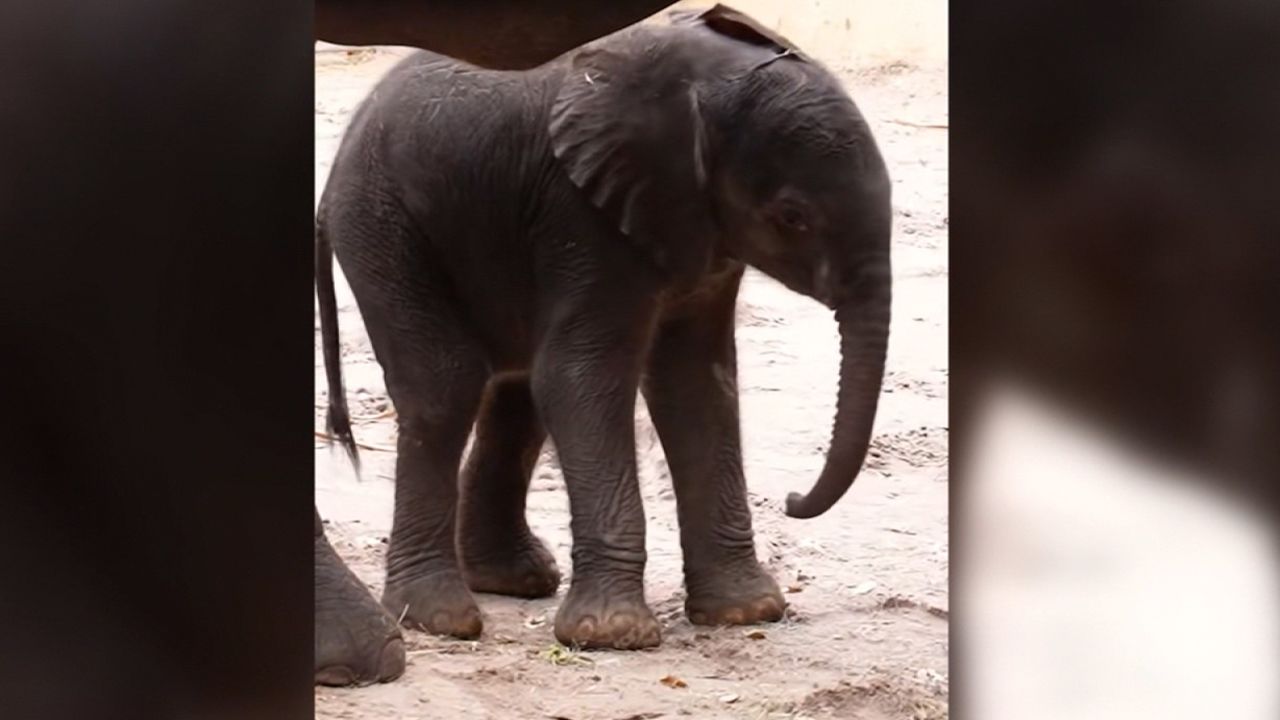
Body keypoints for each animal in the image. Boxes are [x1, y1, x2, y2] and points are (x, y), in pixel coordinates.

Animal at [317, 2, 890, 648]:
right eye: (792, 217)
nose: (793, 499)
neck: (701, 84)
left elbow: (696, 383)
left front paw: (745, 613)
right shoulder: (582, 211)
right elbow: (583, 378)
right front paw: (613, 636)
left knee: (515, 391)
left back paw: (513, 581)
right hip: (382, 225)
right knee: (448, 385)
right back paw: (443, 620)